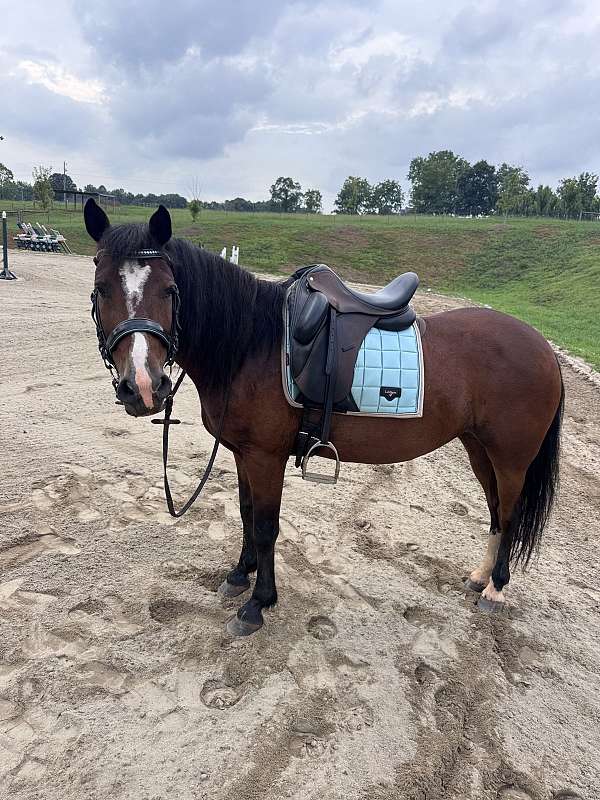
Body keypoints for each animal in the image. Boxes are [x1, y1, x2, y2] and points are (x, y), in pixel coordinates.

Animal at [84, 199, 564, 637]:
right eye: (101, 288)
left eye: (169, 290)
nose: (143, 387)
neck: (251, 343)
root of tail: (544, 348)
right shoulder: (242, 453)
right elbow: (244, 513)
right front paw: (240, 575)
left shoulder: (266, 457)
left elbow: (266, 526)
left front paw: (258, 604)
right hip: (478, 449)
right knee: (496, 511)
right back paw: (480, 577)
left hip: (510, 458)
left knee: (511, 512)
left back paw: (496, 589)